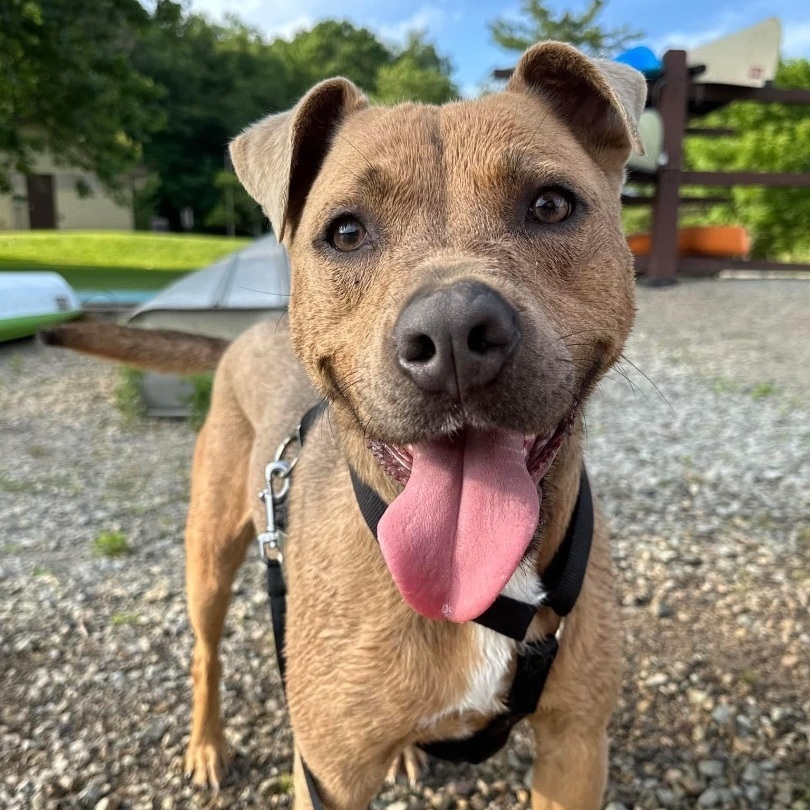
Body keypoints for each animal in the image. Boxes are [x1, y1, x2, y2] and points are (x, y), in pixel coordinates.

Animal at [47, 42, 648, 808]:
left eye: (550, 205)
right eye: (347, 232)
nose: (453, 333)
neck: (485, 592)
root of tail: (244, 336)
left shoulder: (576, 746)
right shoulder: (328, 772)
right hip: (208, 559)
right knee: (206, 656)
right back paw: (207, 746)